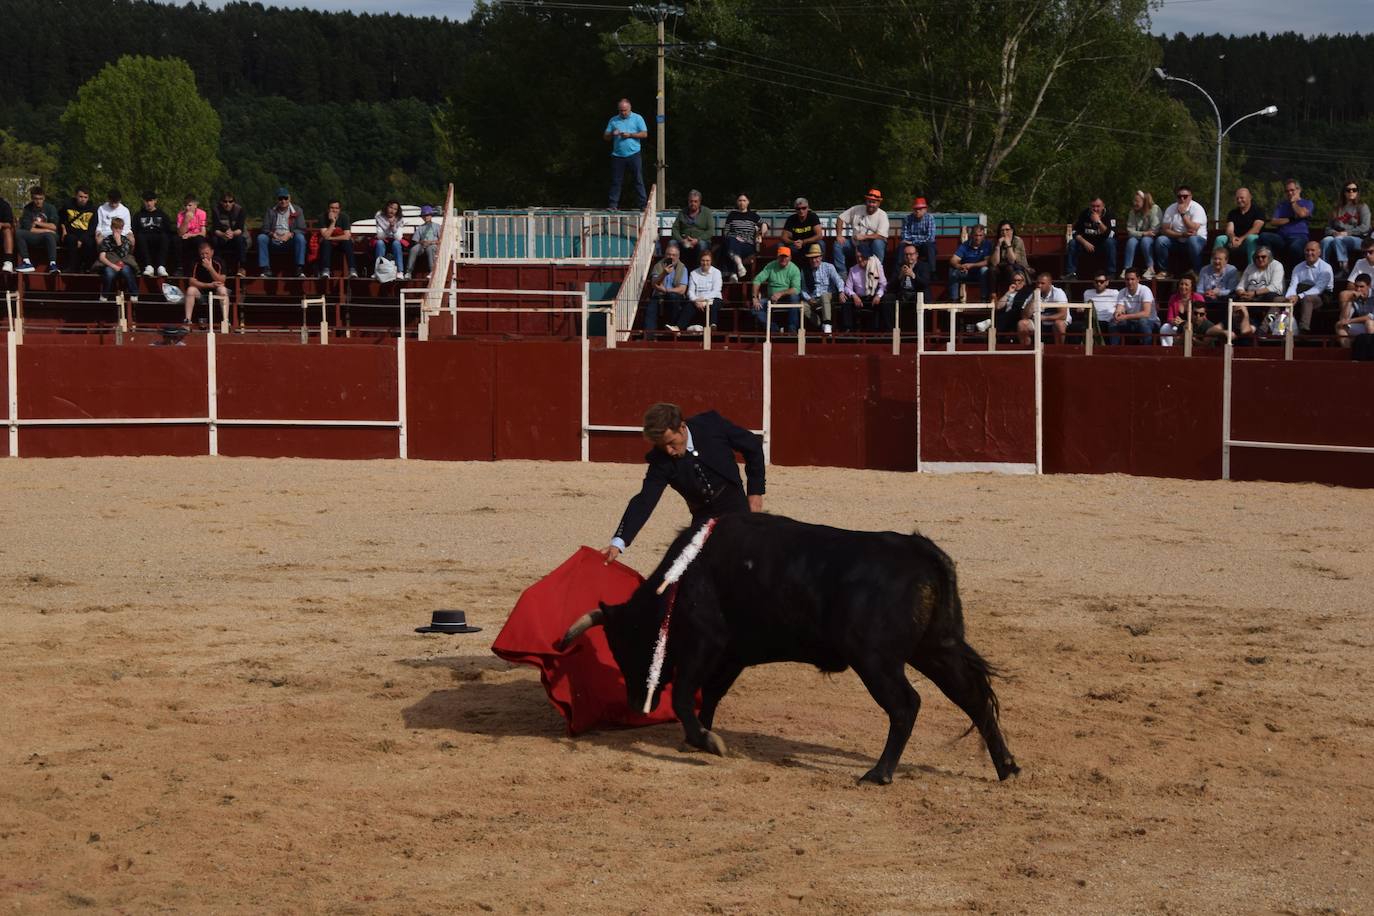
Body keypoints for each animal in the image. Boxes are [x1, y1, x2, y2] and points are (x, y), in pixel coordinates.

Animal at [557, 513, 1022, 785]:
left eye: (628, 645)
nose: (638, 702)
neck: (679, 584)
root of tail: (921, 550)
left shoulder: (707, 642)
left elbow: (689, 694)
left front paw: (707, 742)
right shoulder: (732, 655)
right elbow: (710, 695)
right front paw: (700, 738)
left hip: (875, 660)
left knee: (907, 705)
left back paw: (878, 773)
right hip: (937, 649)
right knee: (974, 699)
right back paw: (1007, 768)